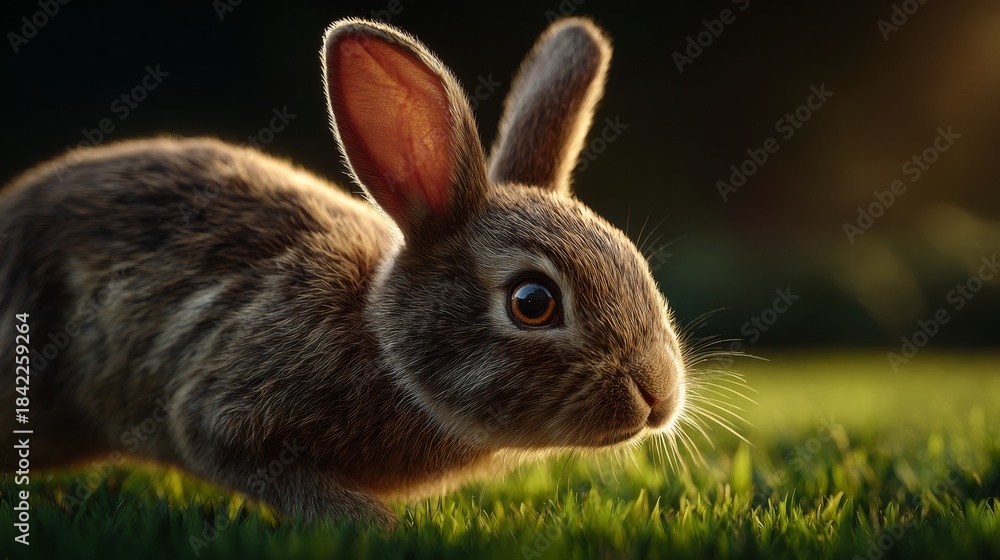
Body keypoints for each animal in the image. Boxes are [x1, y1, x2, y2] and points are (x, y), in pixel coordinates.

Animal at [0, 17, 687, 528]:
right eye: (533, 301)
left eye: (635, 262)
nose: (658, 395)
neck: (381, 341)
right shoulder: (221, 411)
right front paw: (382, 529)